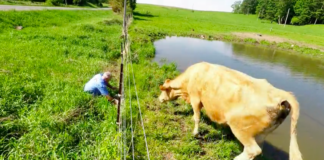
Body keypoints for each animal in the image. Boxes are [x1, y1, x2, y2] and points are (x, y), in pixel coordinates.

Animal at [158, 61, 302, 160]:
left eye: (163, 90)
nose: (159, 99)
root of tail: (281, 94)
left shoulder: (195, 98)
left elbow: (197, 117)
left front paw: (195, 133)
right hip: (261, 134)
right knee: (257, 150)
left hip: (240, 128)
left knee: (253, 150)